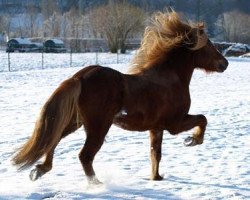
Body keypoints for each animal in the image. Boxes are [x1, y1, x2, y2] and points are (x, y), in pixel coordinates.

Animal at [12, 11, 228, 184]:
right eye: (208, 45)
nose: (224, 63)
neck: (170, 77)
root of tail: (80, 77)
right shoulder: (174, 124)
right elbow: (203, 119)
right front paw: (192, 140)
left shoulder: (156, 128)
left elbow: (155, 154)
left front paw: (156, 177)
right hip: (98, 127)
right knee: (85, 156)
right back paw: (96, 184)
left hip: (76, 121)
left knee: (54, 139)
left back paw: (39, 170)